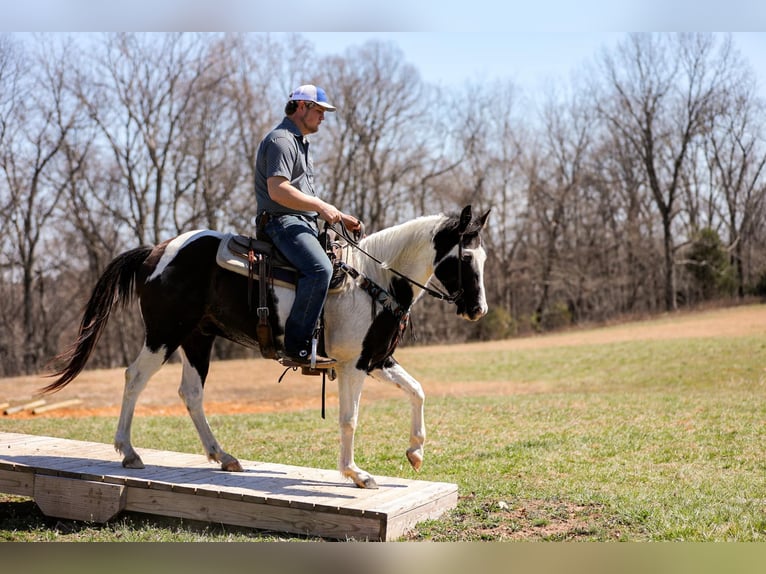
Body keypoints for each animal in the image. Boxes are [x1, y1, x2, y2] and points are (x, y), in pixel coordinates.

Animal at [46, 205, 492, 488]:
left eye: (484, 258)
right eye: (464, 259)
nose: (478, 309)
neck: (374, 279)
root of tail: (155, 252)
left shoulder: (377, 359)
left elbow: (417, 391)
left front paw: (415, 452)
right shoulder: (352, 365)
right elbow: (349, 419)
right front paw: (356, 474)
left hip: (198, 339)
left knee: (190, 393)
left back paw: (223, 456)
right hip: (164, 333)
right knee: (135, 377)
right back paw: (128, 451)